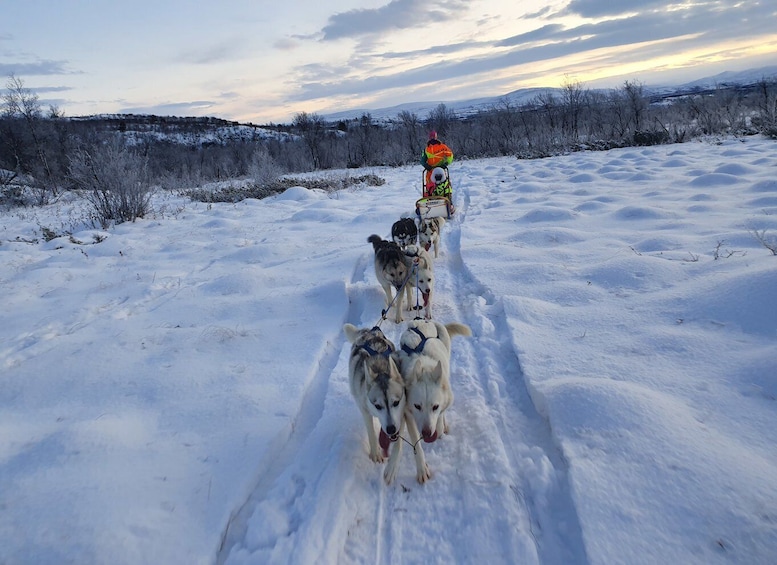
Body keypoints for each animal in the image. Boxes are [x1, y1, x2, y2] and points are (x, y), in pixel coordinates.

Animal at [344, 324, 406, 482]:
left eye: (396, 402)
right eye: (378, 406)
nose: (390, 429)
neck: (380, 369)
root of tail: (369, 331)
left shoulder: (402, 414)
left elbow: (398, 443)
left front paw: (392, 467)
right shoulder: (365, 411)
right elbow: (371, 433)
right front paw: (375, 454)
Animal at [398, 320, 470, 448]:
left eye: (435, 406)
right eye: (417, 406)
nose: (427, 433)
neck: (425, 367)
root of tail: (424, 320)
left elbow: (440, 419)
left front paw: (441, 431)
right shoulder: (409, 412)